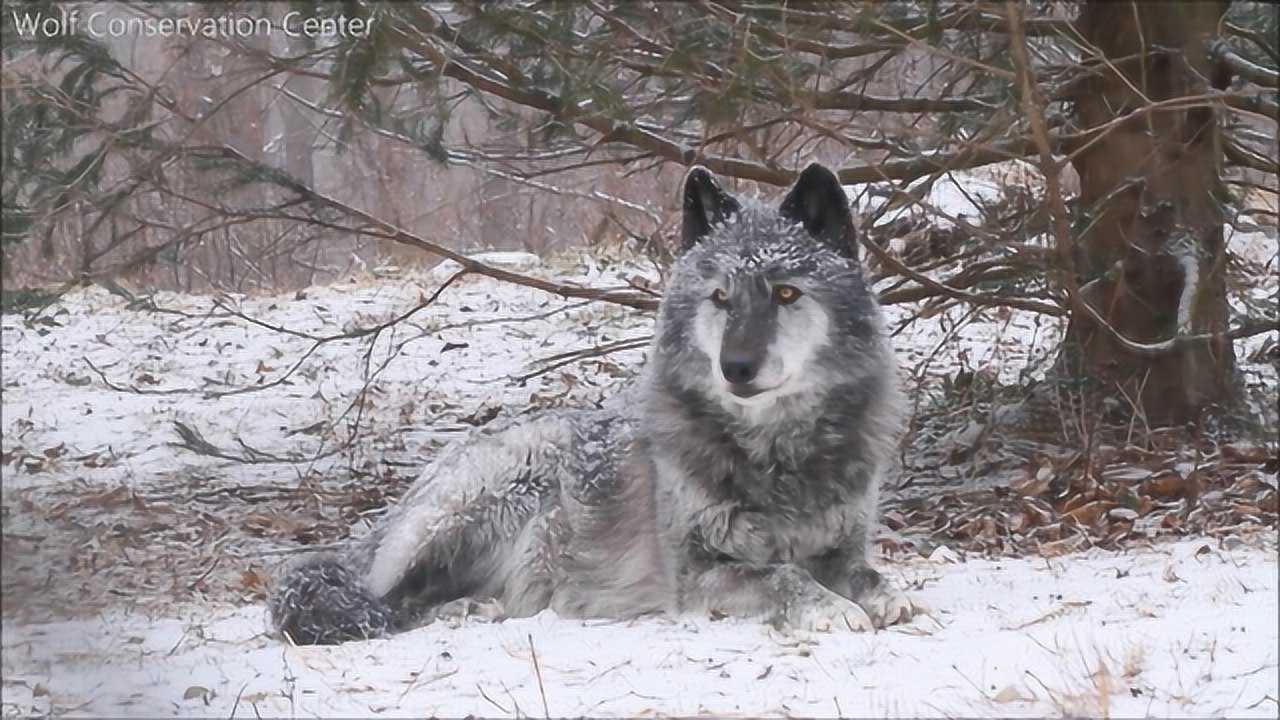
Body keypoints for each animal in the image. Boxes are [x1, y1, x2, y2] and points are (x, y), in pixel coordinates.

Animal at [267, 161, 921, 638]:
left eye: (786, 293)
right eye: (720, 297)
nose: (735, 367)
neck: (778, 454)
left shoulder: (841, 544)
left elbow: (865, 573)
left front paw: (884, 596)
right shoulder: (698, 575)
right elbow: (784, 574)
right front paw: (829, 607)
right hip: (491, 492)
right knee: (385, 600)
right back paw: (463, 611)